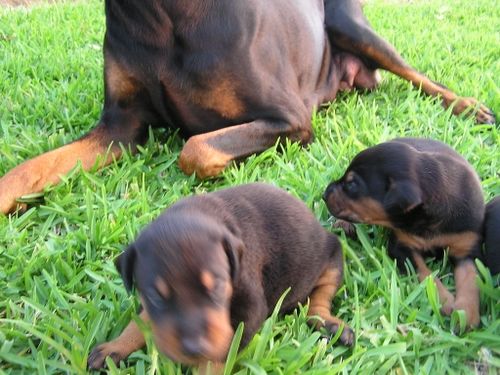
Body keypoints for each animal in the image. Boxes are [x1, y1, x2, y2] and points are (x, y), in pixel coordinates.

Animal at [0, 0, 494, 216]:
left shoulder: (289, 118)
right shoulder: (118, 128)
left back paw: (471, 107)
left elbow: (196, 148)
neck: (160, 12)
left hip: (350, 23)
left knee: (418, 75)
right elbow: (27, 171)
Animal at [87, 184, 352, 372]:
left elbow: (218, 357)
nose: (194, 348)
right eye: (155, 296)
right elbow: (139, 321)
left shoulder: (249, 309)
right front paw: (114, 348)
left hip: (332, 255)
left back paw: (331, 324)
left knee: (320, 297)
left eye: (216, 287)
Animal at [322, 138, 498, 328]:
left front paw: (465, 314)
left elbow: (470, 279)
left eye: (352, 184)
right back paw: (344, 225)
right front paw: (446, 301)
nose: (324, 193)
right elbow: (425, 273)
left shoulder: (468, 248)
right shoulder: (402, 246)